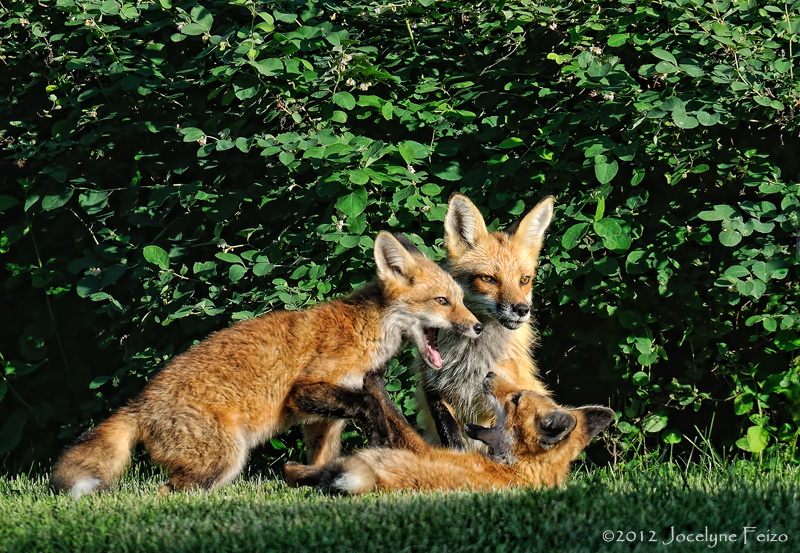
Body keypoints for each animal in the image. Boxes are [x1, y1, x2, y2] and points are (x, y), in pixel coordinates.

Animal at [54, 231, 488, 498]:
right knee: (167, 494)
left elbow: (325, 459)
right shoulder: (304, 391)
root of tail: (139, 405)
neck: (366, 330)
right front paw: (379, 436)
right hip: (222, 461)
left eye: (459, 299)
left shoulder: (322, 422)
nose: (479, 326)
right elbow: (368, 405)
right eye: (443, 302)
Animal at [284, 370, 616, 492]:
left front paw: (375, 377)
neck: (516, 470)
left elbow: (392, 412)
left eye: (516, 399)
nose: (489, 373)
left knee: (301, 472)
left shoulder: (421, 448)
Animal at [416, 192, 552, 450]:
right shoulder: (432, 384)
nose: (522, 309)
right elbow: (451, 435)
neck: (471, 359)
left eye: (524, 280)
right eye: (488, 279)